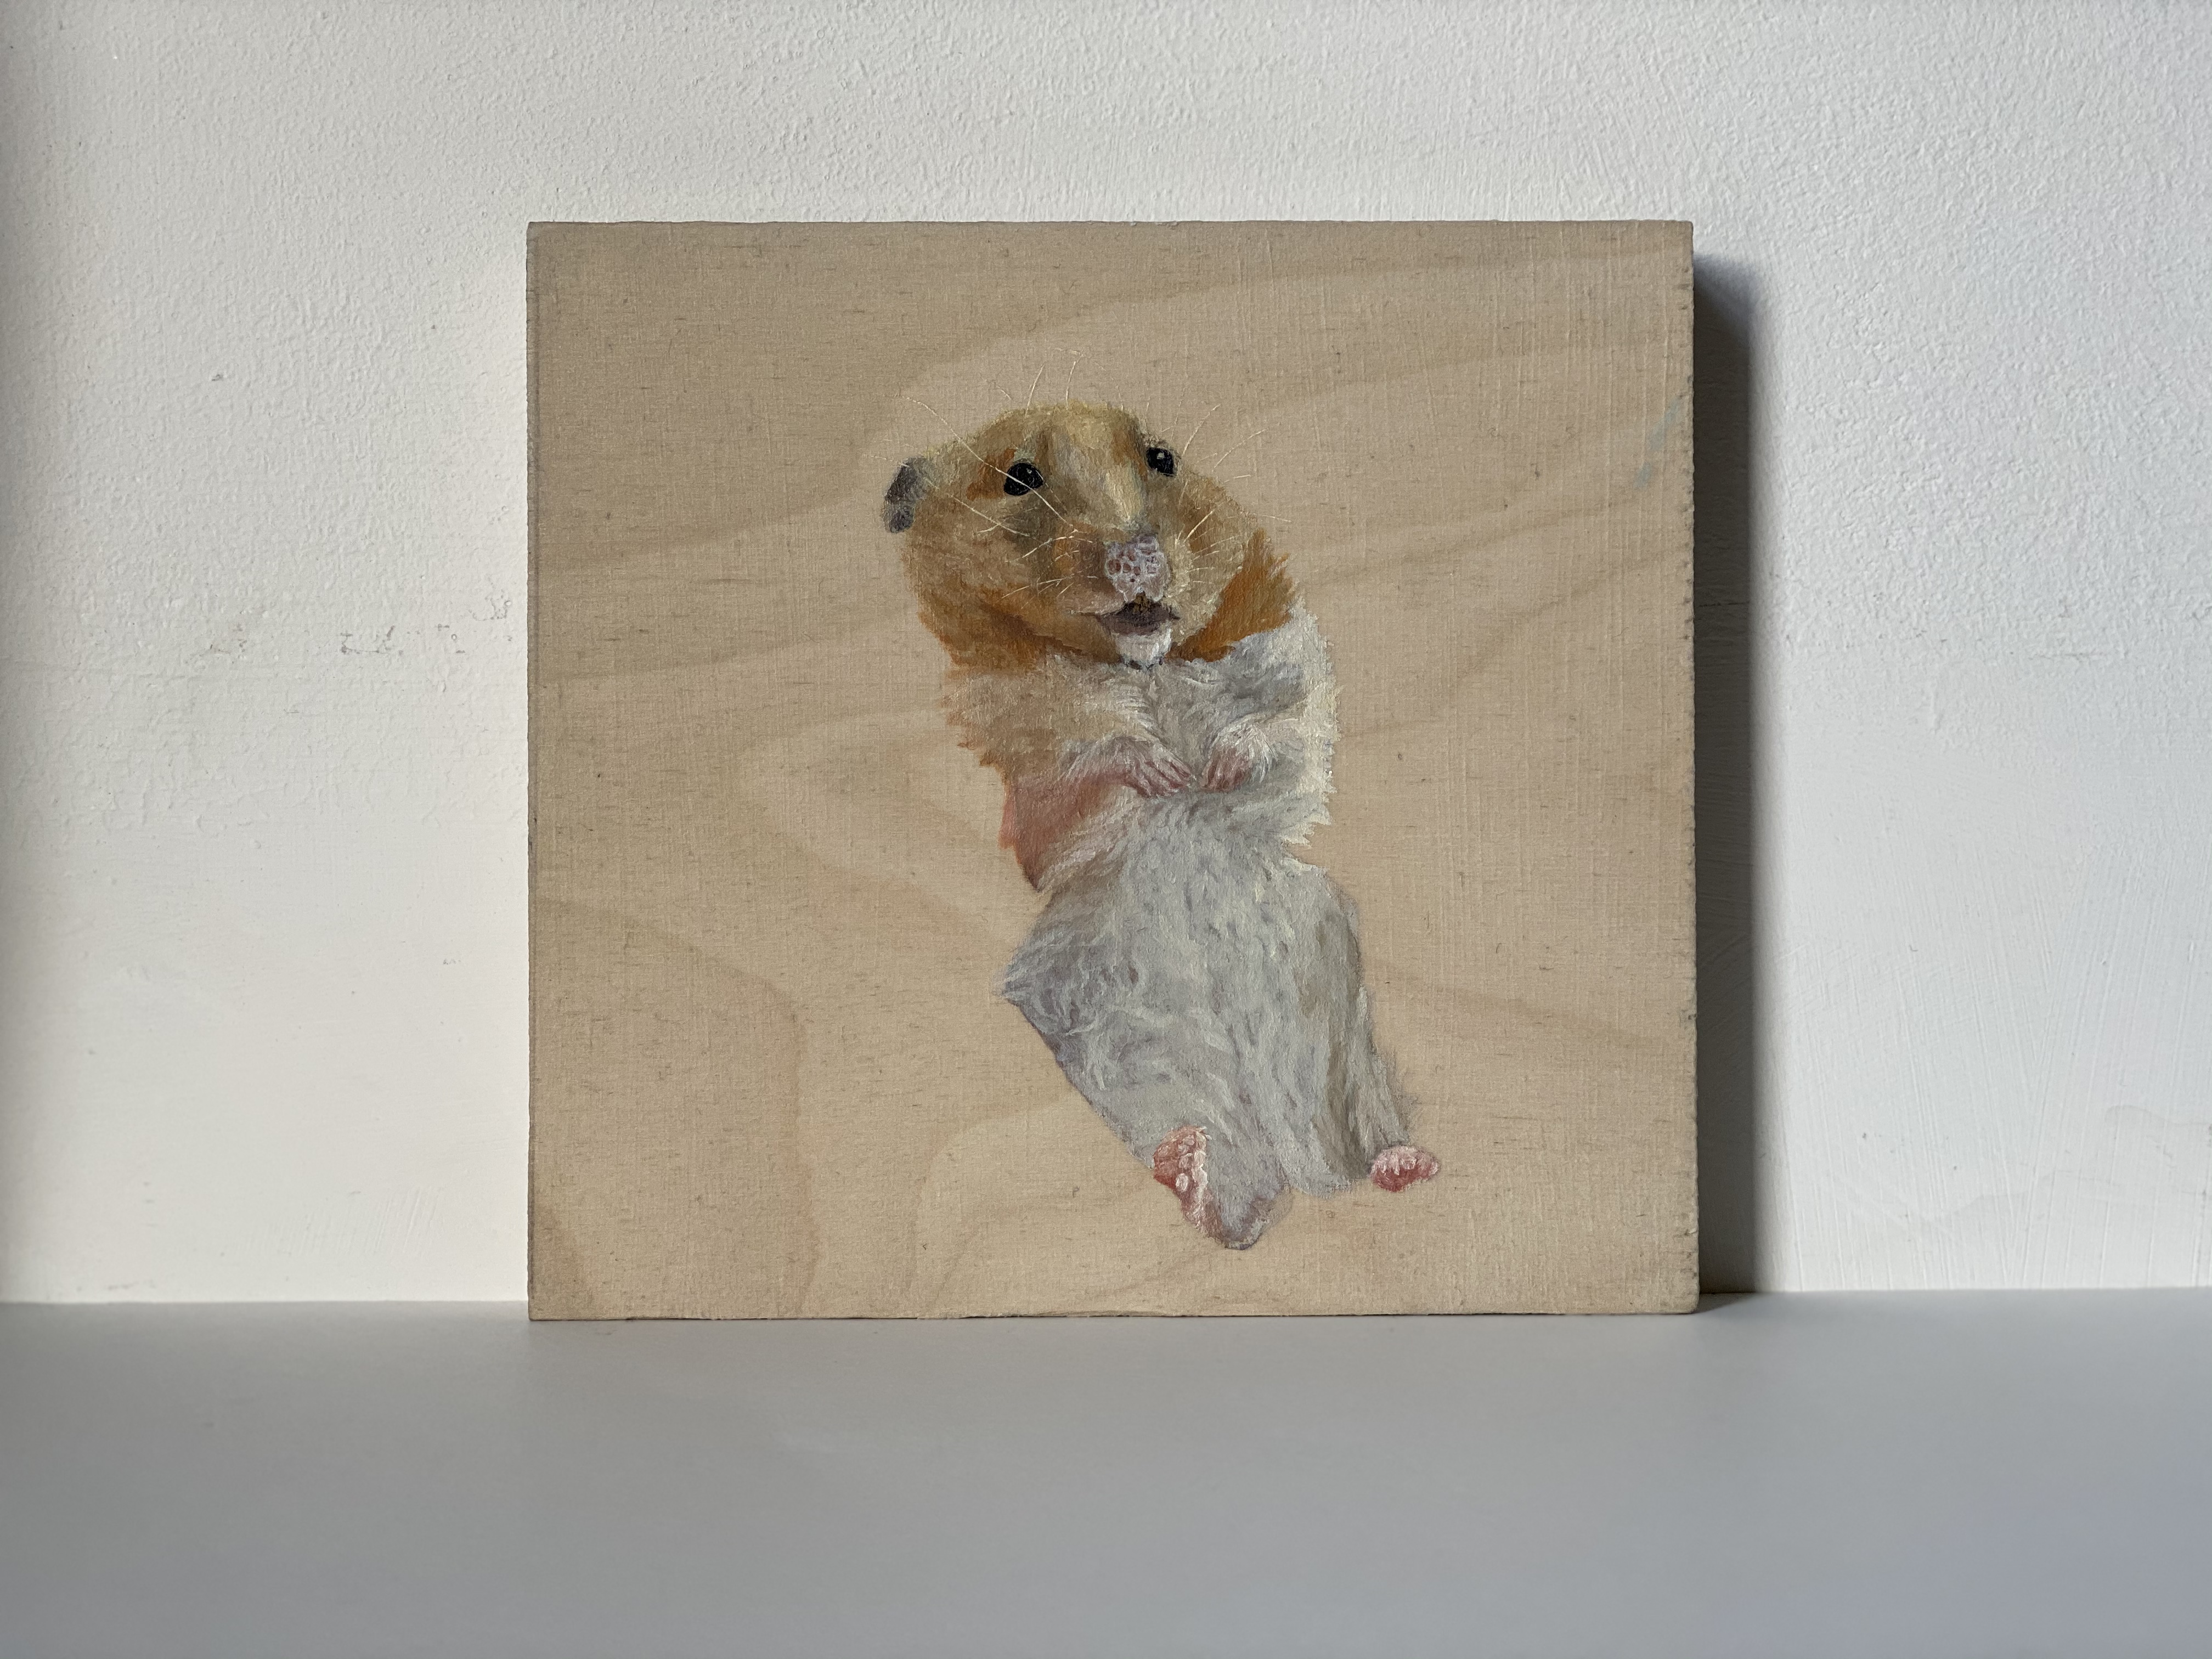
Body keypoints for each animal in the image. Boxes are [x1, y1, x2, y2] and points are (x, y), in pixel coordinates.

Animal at [885, 400, 1437, 1247]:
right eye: (1020, 478)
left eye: (1162, 458)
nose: (1139, 555)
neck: (1146, 659)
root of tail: (1285, 1158)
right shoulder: (1020, 723)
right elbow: (1094, 743)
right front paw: (1164, 773)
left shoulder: (1290, 658)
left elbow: (1282, 724)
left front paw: (1215, 769)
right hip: (1118, 1043)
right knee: (1220, 1187)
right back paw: (1197, 1171)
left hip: (1341, 1022)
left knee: (1350, 1136)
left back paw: (1402, 1163)